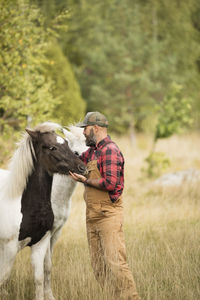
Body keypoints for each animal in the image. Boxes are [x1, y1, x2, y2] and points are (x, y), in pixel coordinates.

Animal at [0, 122, 87, 300]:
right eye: (52, 147)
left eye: (66, 144)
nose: (83, 168)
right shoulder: (9, 248)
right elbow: (3, 278)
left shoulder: (42, 241)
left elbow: (40, 276)